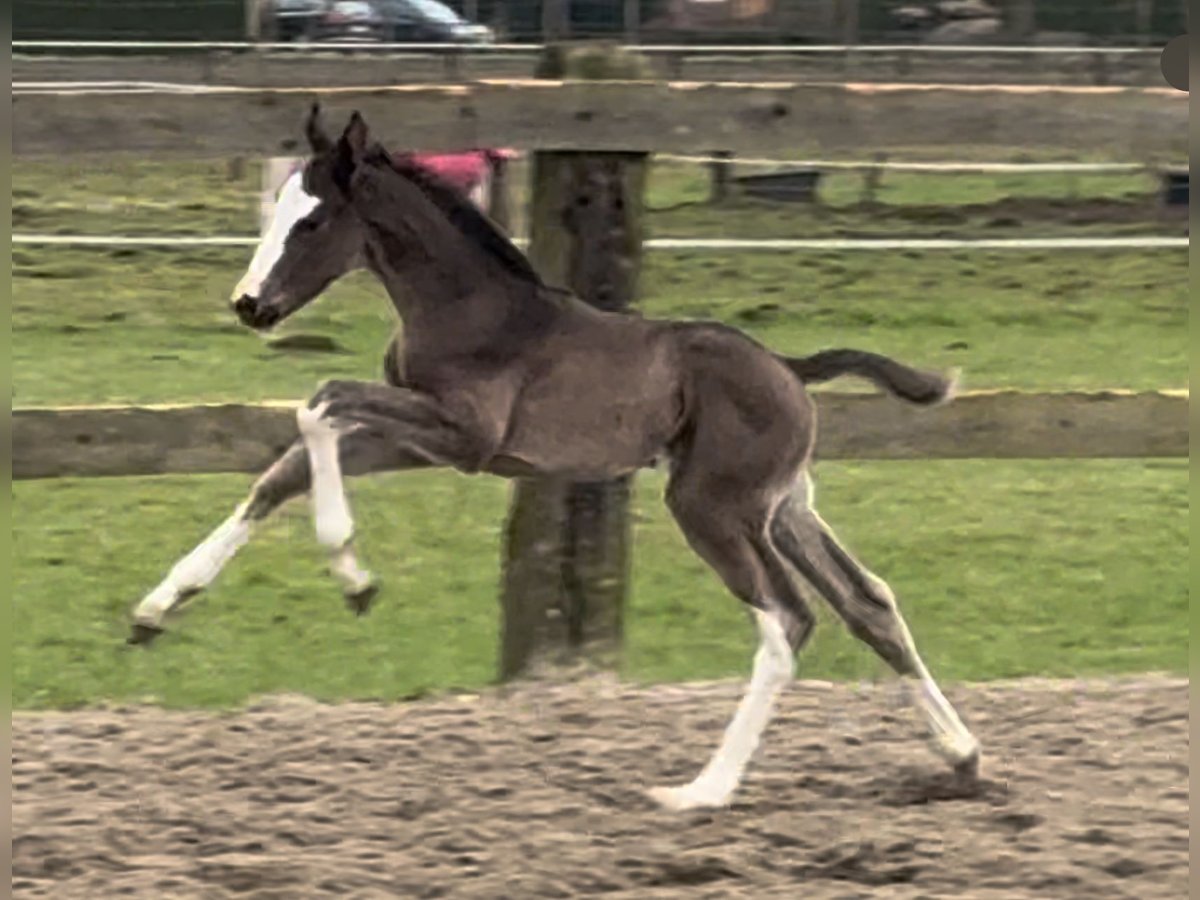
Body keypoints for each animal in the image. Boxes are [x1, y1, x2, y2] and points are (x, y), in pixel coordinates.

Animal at [133, 109, 974, 816]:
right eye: (275, 206)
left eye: (311, 220)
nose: (249, 305)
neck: (469, 309)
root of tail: (792, 370)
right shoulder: (417, 438)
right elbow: (287, 467)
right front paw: (160, 608)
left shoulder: (467, 438)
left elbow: (321, 402)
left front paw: (353, 575)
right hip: (785, 508)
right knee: (869, 602)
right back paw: (962, 754)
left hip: (711, 507)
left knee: (788, 618)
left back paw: (702, 789)